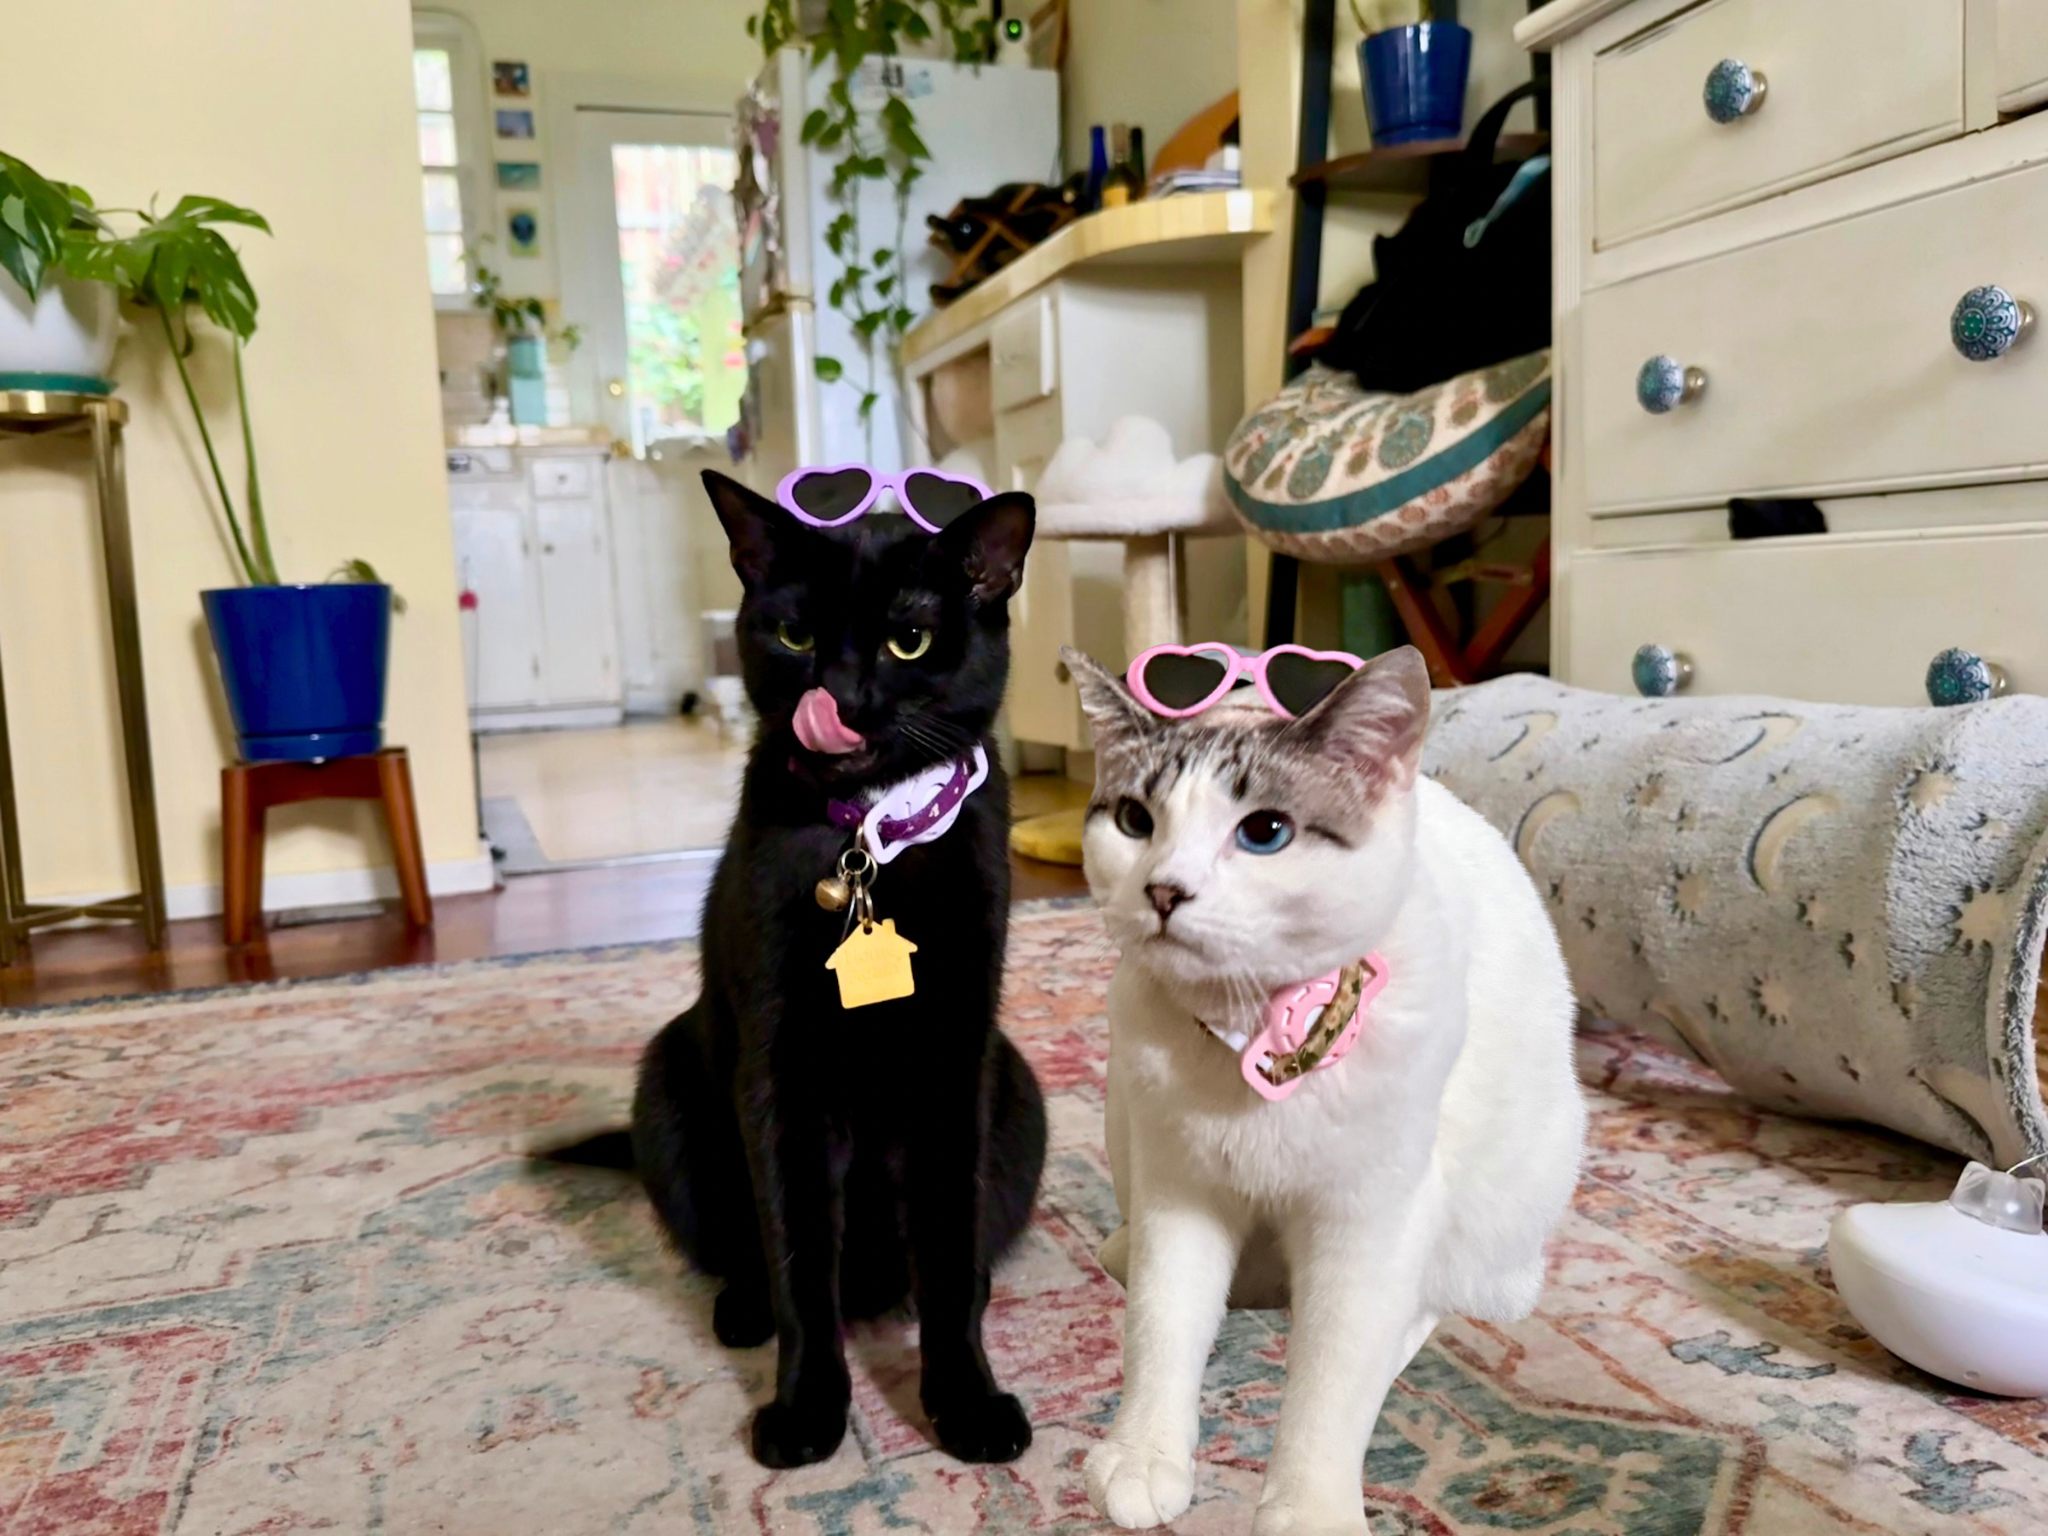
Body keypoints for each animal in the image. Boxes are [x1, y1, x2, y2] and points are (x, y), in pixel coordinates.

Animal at [630, 470, 1046, 1470]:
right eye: (794, 635)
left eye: (910, 639)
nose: (841, 699)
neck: (871, 839)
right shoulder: (780, 1069)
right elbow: (797, 1251)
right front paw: (808, 1408)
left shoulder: (954, 1059)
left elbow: (948, 1245)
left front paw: (966, 1403)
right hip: (665, 1087)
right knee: (746, 1249)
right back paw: (743, 1309)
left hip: (1018, 1090)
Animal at [1063, 643, 1586, 1535]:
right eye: (1135, 821)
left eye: (1264, 832)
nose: (1163, 890)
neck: (1250, 1033)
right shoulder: (1179, 1189)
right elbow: (1162, 1326)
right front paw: (1142, 1454)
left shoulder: (1371, 1218)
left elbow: (1332, 1376)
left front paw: (1307, 1506)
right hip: (1122, 1121)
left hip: (1508, 1196)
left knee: (1440, 1300)